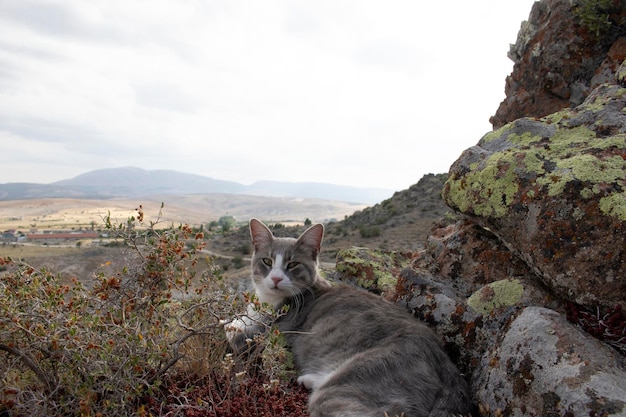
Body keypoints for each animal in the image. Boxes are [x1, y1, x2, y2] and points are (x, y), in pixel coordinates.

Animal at [224, 218, 468, 416]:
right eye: (267, 261)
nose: (275, 278)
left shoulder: (268, 333)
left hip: (357, 379)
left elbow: (233, 332)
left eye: (292, 264)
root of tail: (447, 367)